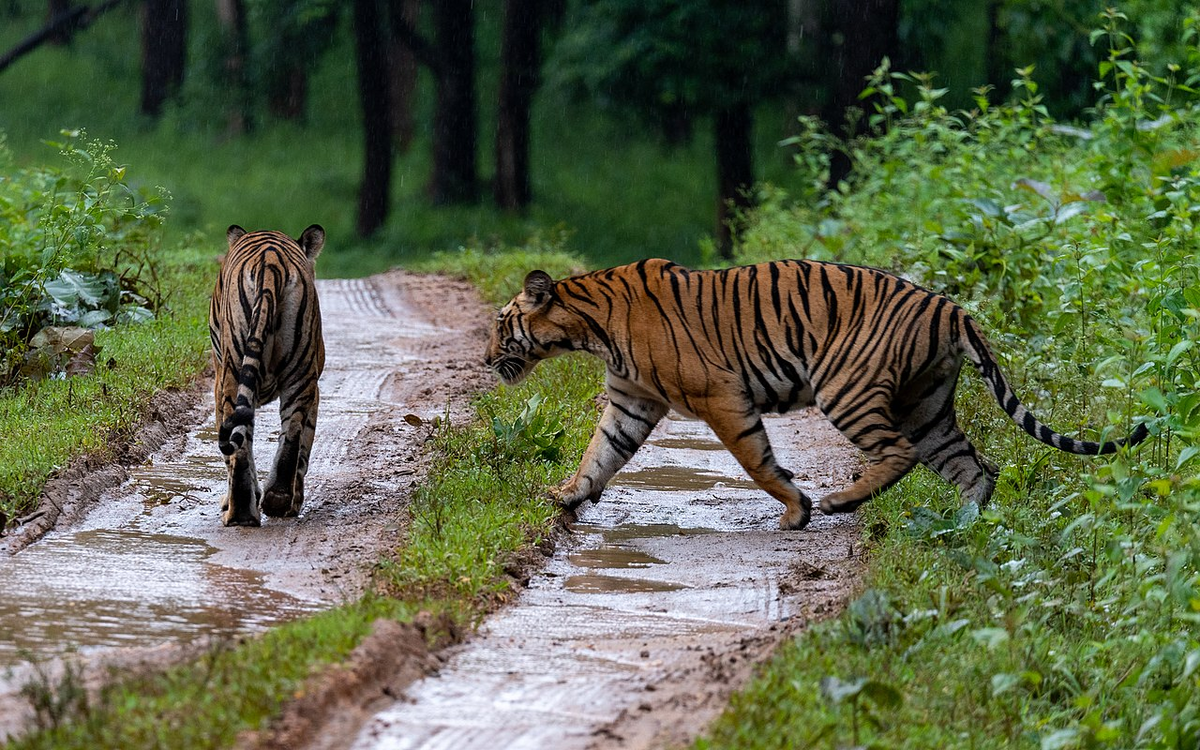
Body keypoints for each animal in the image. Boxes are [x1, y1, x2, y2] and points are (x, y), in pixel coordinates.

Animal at [208, 225, 326, 523]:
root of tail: (271, 261)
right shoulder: (313, 386)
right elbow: (304, 444)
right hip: (300, 375)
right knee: (292, 432)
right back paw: (277, 499)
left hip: (233, 372)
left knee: (239, 446)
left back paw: (239, 512)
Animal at [482, 260, 1147, 530]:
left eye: (499, 325)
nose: (486, 360)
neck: (588, 327)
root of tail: (952, 307)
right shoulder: (630, 400)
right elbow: (600, 454)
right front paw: (565, 497)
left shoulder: (721, 397)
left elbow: (756, 460)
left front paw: (795, 508)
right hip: (927, 404)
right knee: (976, 468)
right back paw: (962, 530)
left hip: (847, 388)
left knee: (900, 453)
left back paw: (839, 502)